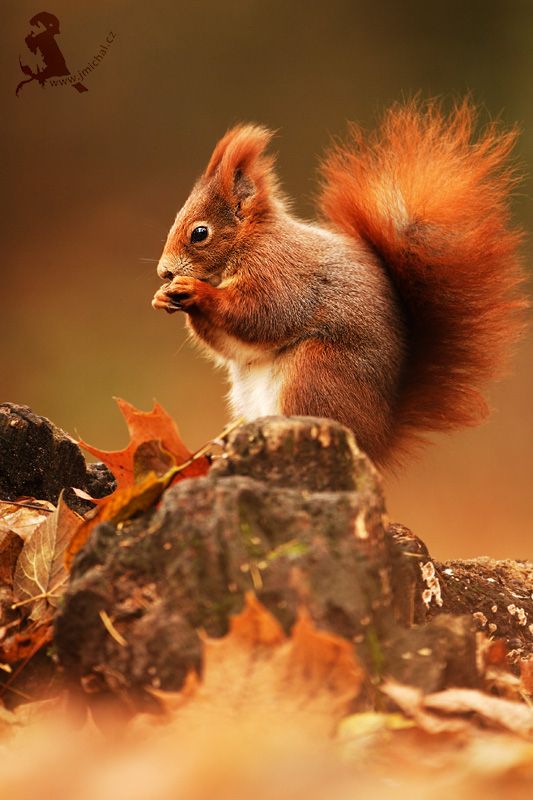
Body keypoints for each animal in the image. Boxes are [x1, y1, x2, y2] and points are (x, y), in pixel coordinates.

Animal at [151, 101, 524, 466]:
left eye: (200, 233)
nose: (164, 272)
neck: (250, 242)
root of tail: (376, 440)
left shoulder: (280, 272)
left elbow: (260, 314)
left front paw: (194, 291)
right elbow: (234, 344)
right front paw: (163, 298)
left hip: (315, 371)